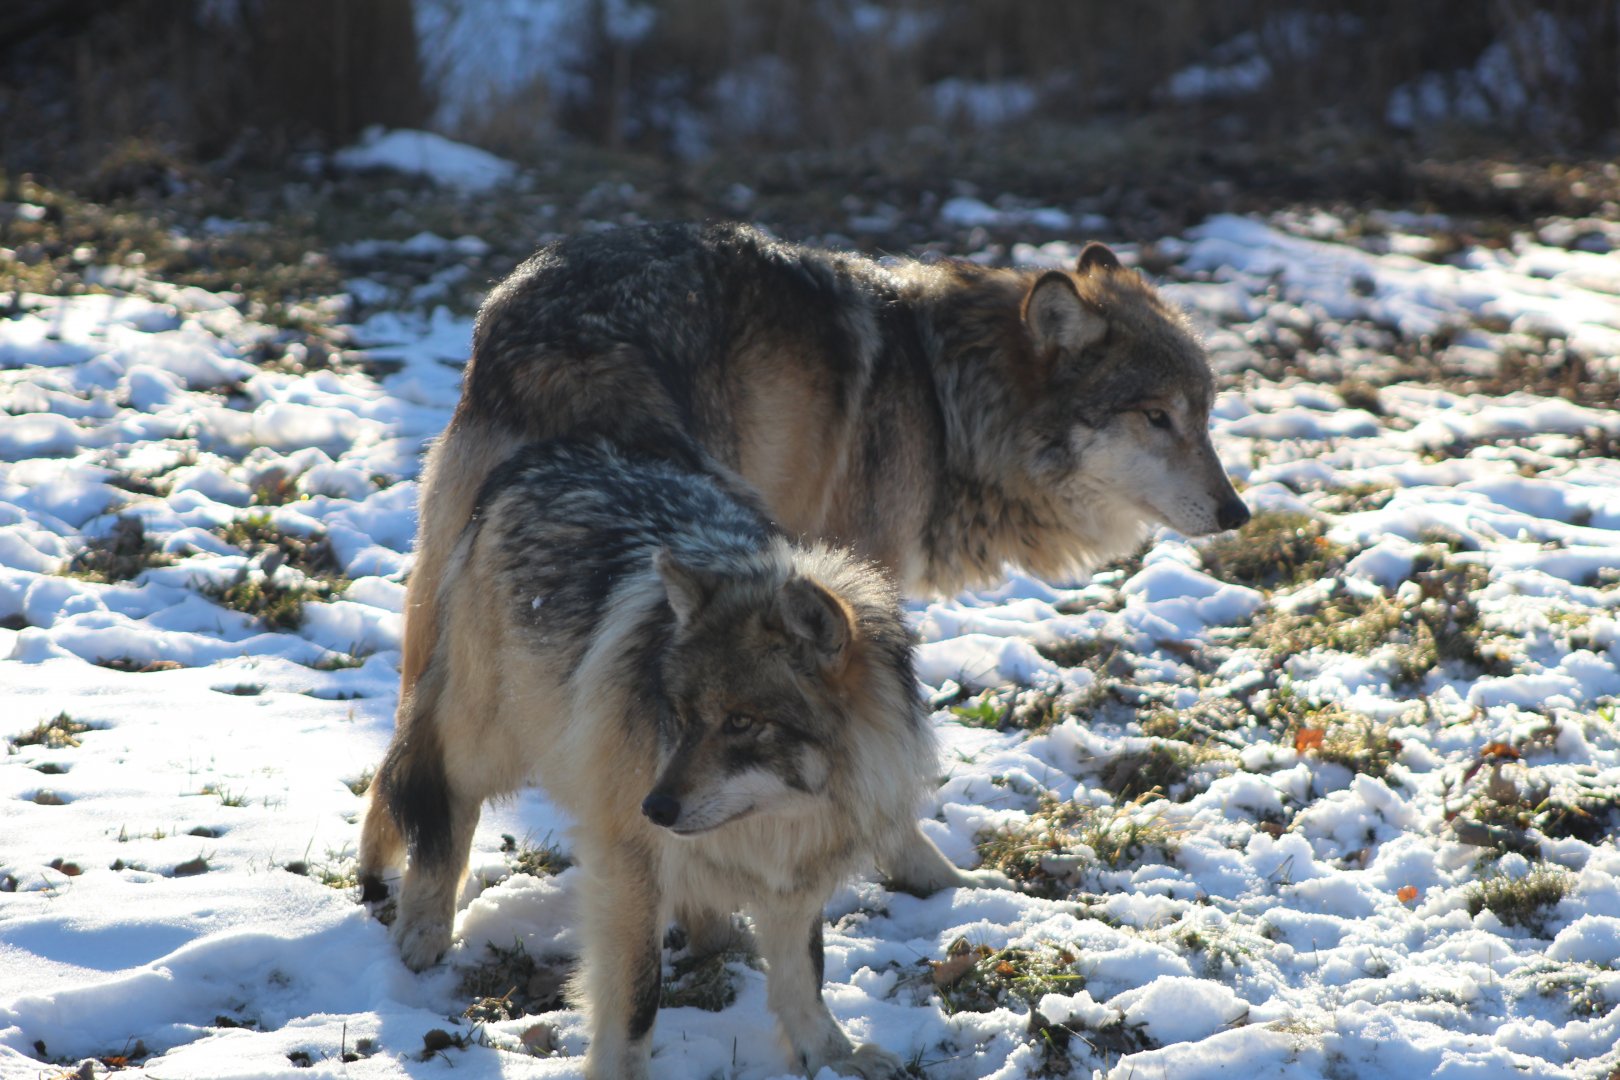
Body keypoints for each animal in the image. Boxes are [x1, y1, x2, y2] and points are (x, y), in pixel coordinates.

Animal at [360, 439, 934, 1080]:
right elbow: (637, 995)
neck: (780, 820)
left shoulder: (795, 879)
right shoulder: (629, 863)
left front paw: (831, 1056)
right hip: (491, 743)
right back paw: (424, 927)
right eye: (679, 716)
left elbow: (804, 974)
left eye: (740, 722)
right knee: (441, 801)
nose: (654, 807)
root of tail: (546, 454)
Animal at [395, 223, 1249, 893]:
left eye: (1206, 413)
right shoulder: (859, 594)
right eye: (1156, 418)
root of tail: (533, 335)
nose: (1238, 512)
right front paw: (928, 875)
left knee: (413, 749)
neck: (946, 398)